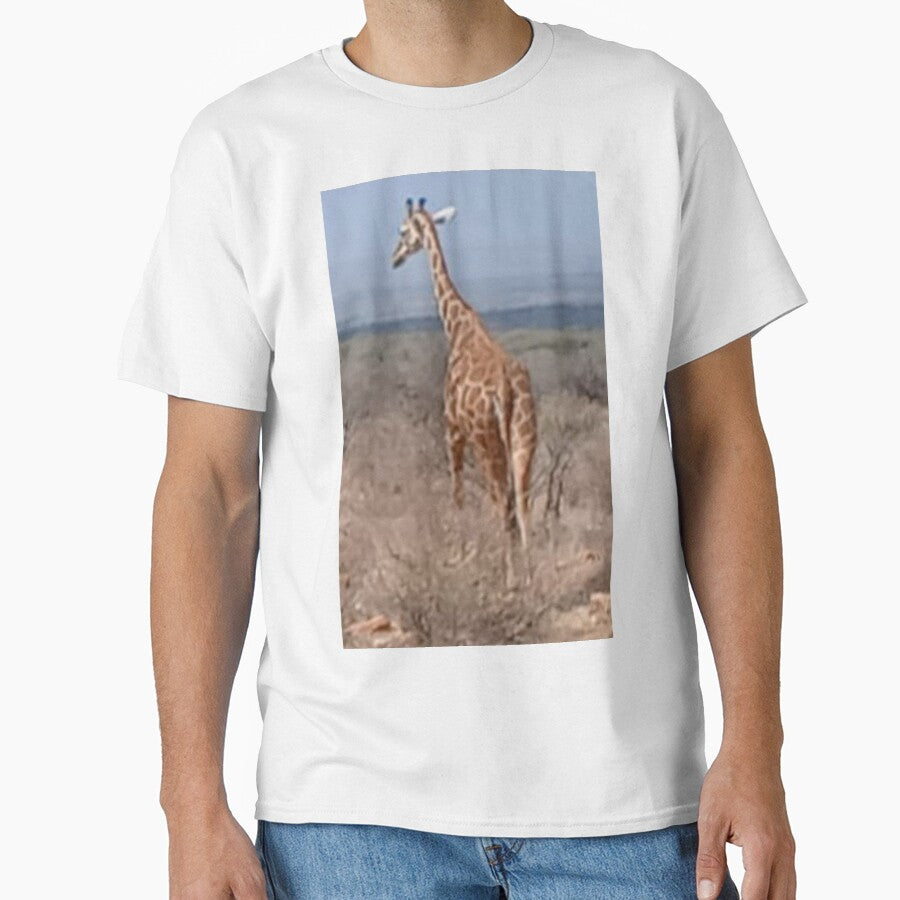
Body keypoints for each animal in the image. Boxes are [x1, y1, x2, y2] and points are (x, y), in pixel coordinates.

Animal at [391, 197, 537, 584]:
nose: (394, 258)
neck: (456, 326)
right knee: (521, 499)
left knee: (501, 501)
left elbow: (456, 492)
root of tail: (505, 390)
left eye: (402, 231)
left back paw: (509, 578)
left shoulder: (452, 429)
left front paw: (456, 555)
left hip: (487, 442)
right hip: (522, 438)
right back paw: (530, 575)